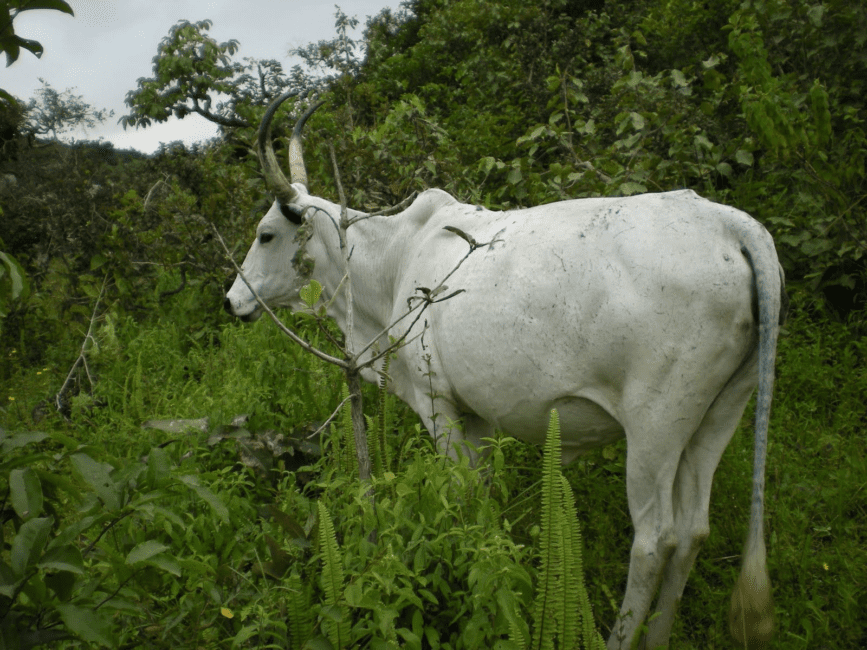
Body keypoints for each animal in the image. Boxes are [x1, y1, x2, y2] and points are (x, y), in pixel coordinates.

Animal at [225, 92, 788, 648]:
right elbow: (483, 497)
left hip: (656, 426)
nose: (232, 301)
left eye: (266, 235)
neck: (393, 258)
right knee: (694, 531)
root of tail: (729, 224)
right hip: (719, 414)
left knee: (657, 541)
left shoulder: (436, 402)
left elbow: (461, 495)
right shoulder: (478, 414)